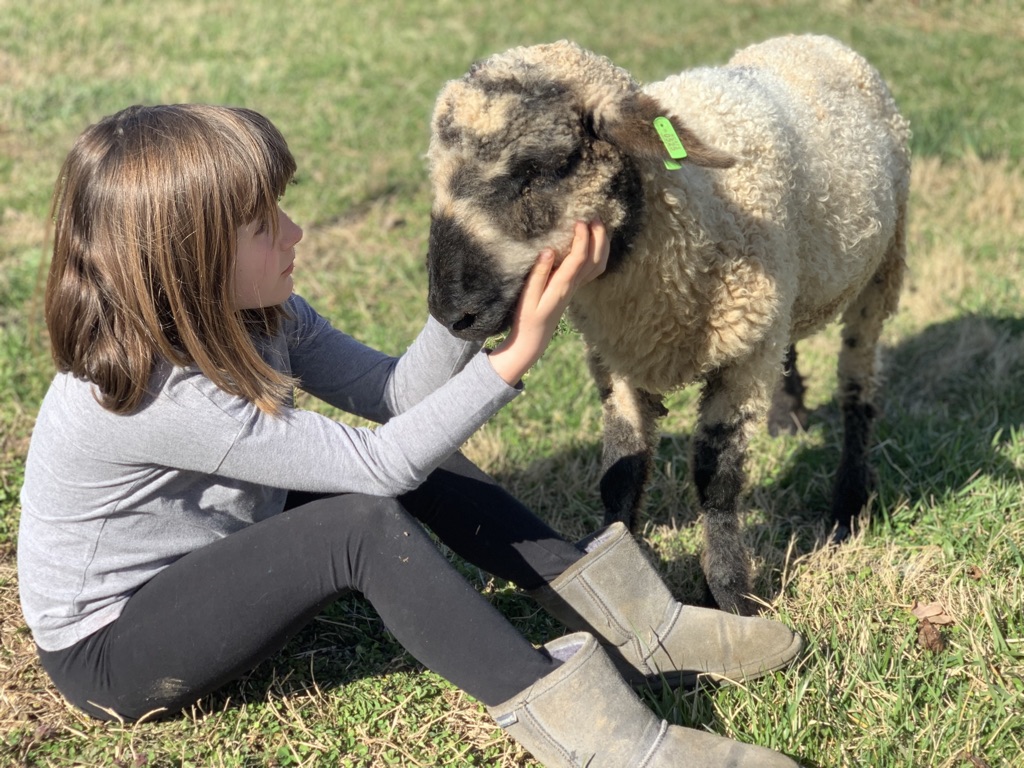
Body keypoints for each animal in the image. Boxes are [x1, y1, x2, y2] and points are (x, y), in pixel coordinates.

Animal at [424, 34, 910, 615]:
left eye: (537, 170)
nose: (452, 314)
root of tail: (810, 38)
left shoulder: (744, 360)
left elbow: (716, 479)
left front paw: (732, 598)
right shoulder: (617, 359)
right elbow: (621, 473)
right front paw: (631, 574)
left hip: (881, 270)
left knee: (858, 383)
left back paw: (848, 505)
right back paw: (788, 416)